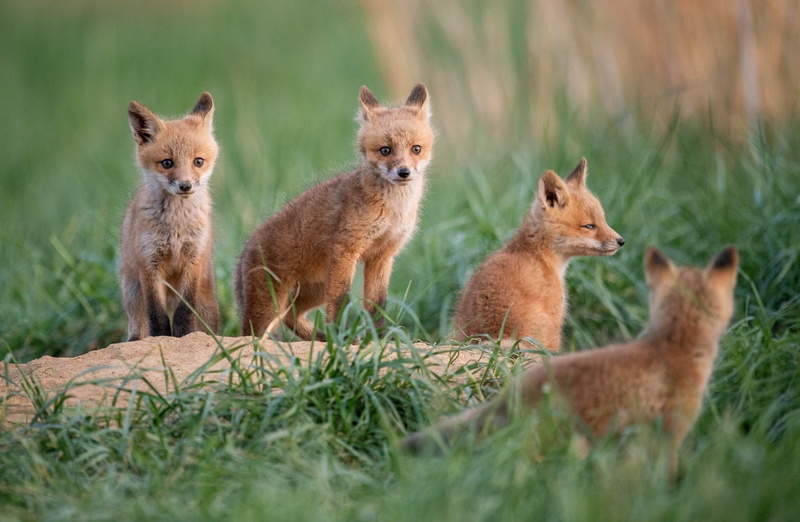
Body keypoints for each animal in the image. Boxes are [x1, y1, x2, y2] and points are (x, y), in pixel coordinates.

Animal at [120, 92, 221, 342]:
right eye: (167, 163)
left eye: (198, 161)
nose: (185, 186)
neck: (176, 226)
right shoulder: (149, 263)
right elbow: (157, 314)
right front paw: (161, 339)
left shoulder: (193, 260)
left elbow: (185, 312)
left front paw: (183, 337)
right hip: (132, 290)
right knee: (137, 322)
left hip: (206, 299)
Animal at [234, 83, 434, 340]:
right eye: (385, 150)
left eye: (416, 149)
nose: (404, 172)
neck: (393, 210)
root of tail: (244, 249)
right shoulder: (345, 250)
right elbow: (340, 302)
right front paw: (342, 339)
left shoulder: (382, 256)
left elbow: (377, 305)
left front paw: (378, 339)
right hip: (270, 306)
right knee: (250, 334)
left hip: (315, 290)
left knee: (292, 316)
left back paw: (318, 337)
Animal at [452, 158, 625, 352]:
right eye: (589, 226)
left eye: (603, 220)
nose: (621, 240)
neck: (540, 257)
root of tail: (491, 337)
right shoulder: (555, 317)